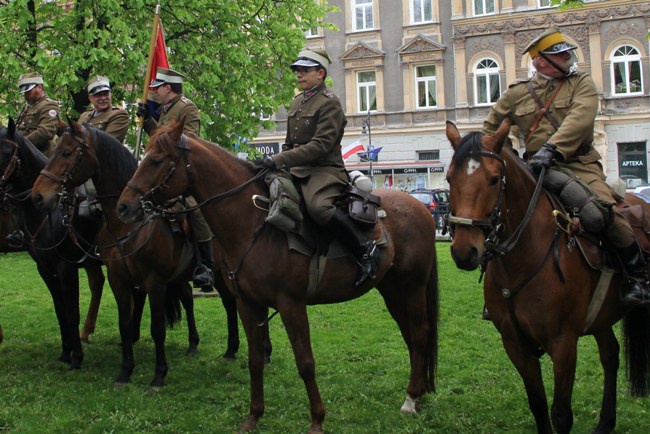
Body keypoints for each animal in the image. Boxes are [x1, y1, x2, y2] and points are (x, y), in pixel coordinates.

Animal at [0, 120, 105, 368]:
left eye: (7, 152)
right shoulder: (45, 268)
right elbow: (60, 310)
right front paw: (66, 351)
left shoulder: (66, 267)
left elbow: (71, 311)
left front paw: (76, 357)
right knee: (99, 283)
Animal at [116, 120, 440, 432]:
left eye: (156, 160)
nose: (123, 206)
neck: (253, 222)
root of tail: (420, 208)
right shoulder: (248, 305)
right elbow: (255, 359)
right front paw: (253, 417)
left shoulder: (291, 304)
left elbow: (305, 362)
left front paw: (317, 420)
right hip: (392, 291)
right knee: (412, 336)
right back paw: (418, 395)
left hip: (411, 288)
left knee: (419, 334)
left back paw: (411, 399)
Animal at [442, 119, 644, 434]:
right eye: (450, 178)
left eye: (493, 179)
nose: (464, 251)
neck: (521, 259)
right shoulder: (515, 345)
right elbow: (538, 405)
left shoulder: (563, 345)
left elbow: (561, 414)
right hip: (601, 317)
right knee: (610, 355)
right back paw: (605, 423)